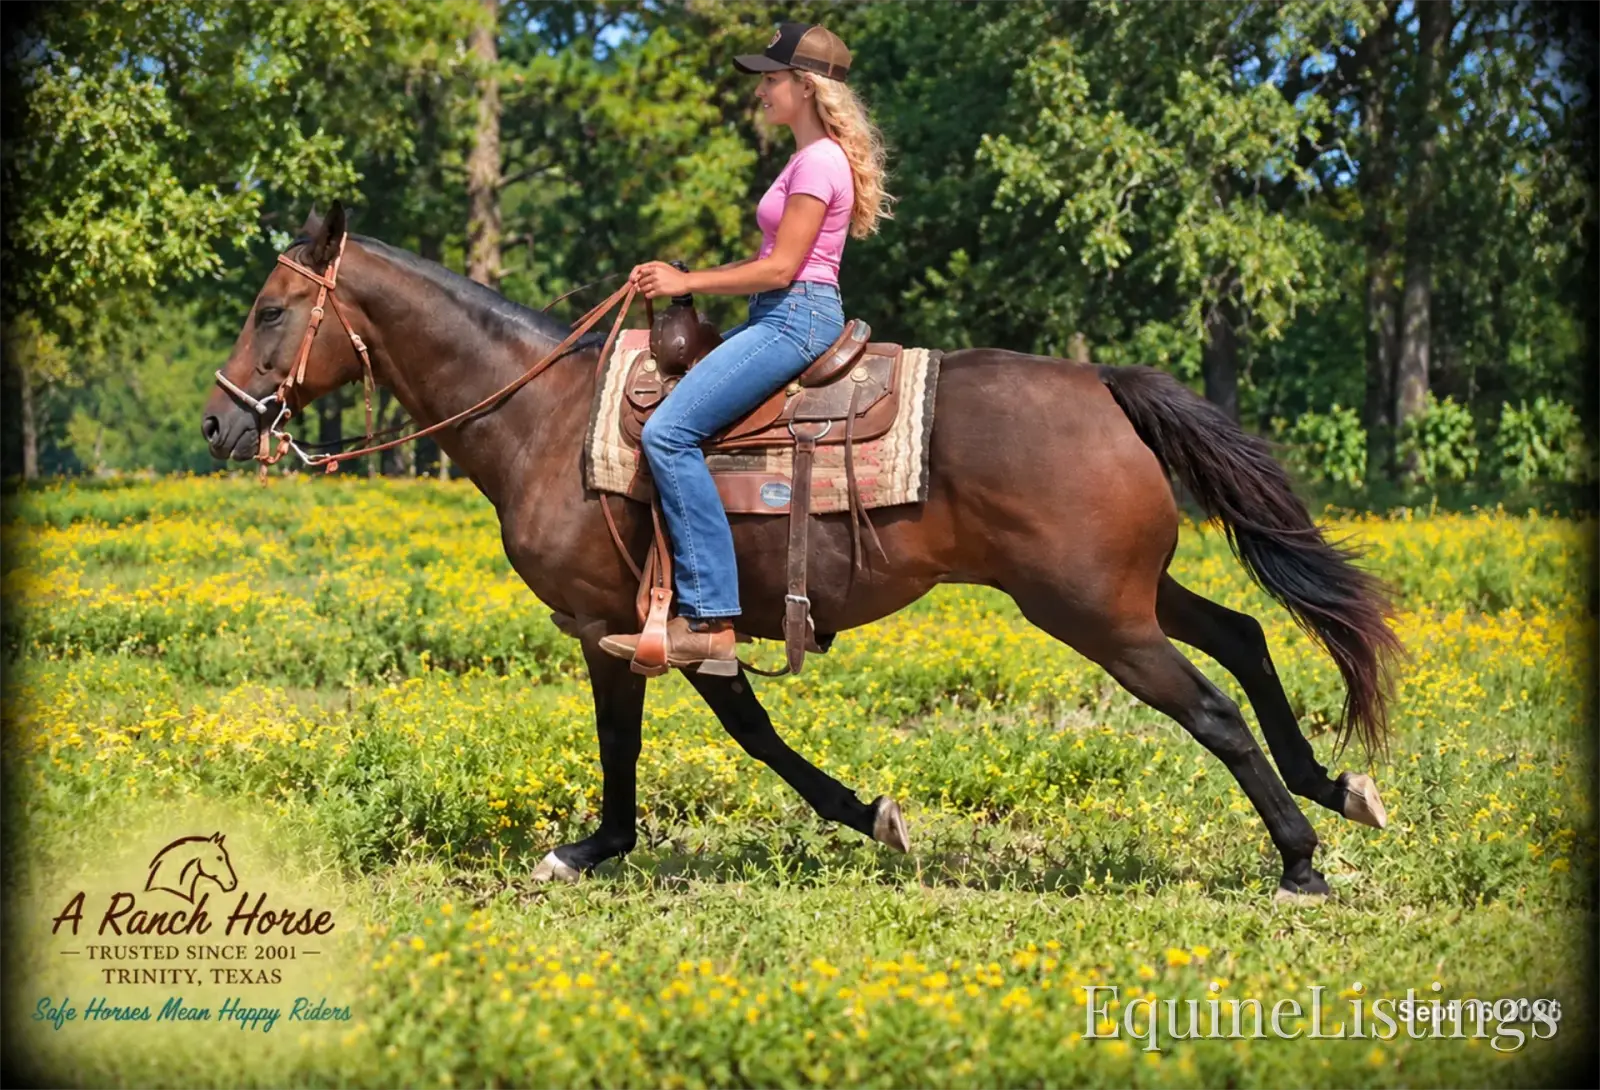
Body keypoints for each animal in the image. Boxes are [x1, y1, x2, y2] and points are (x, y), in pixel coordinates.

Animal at [201, 203, 1401, 900]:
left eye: (271, 311)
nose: (219, 424)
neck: (541, 419)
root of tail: (1104, 384)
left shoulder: (613, 623)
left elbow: (668, 740)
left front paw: (592, 847)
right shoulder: (689, 624)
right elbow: (748, 732)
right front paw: (868, 814)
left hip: (1093, 613)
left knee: (1211, 707)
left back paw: (1300, 858)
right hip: (1133, 591)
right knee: (1245, 636)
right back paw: (1338, 789)